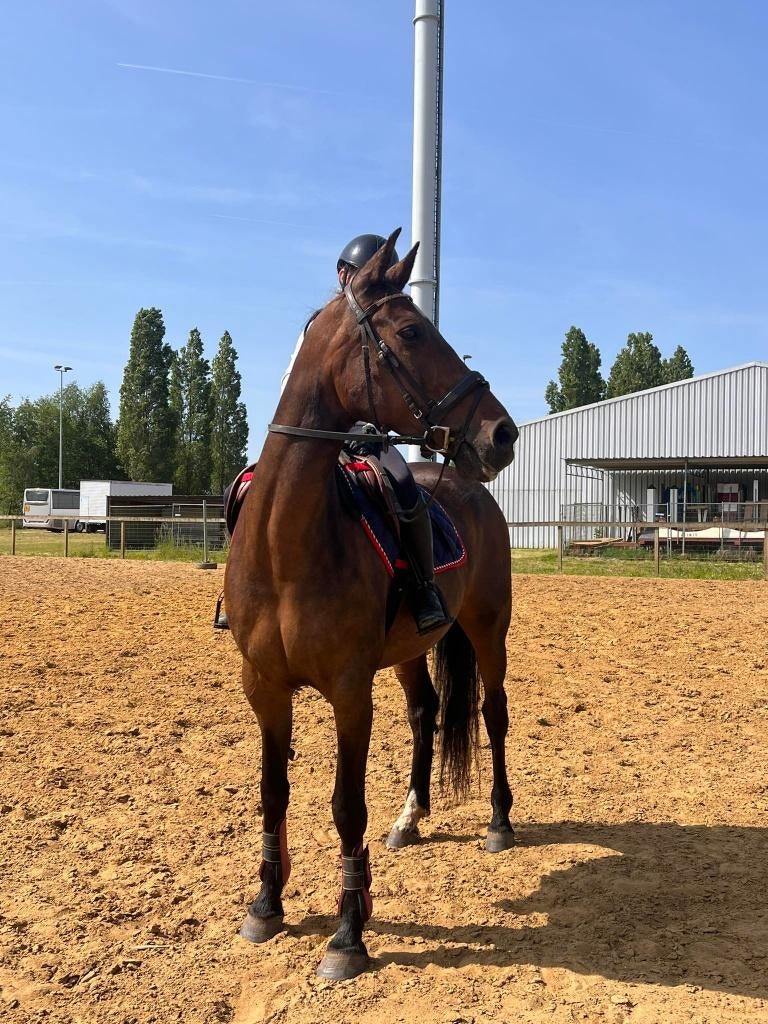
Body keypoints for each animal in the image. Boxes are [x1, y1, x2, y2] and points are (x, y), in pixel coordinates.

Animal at [224, 229, 519, 980]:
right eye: (412, 331)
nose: (501, 435)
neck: (286, 545)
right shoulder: (265, 688)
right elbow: (274, 793)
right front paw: (266, 904)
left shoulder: (350, 691)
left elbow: (344, 807)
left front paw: (347, 934)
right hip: (411, 650)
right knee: (425, 713)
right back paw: (410, 818)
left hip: (489, 631)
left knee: (493, 714)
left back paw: (500, 822)